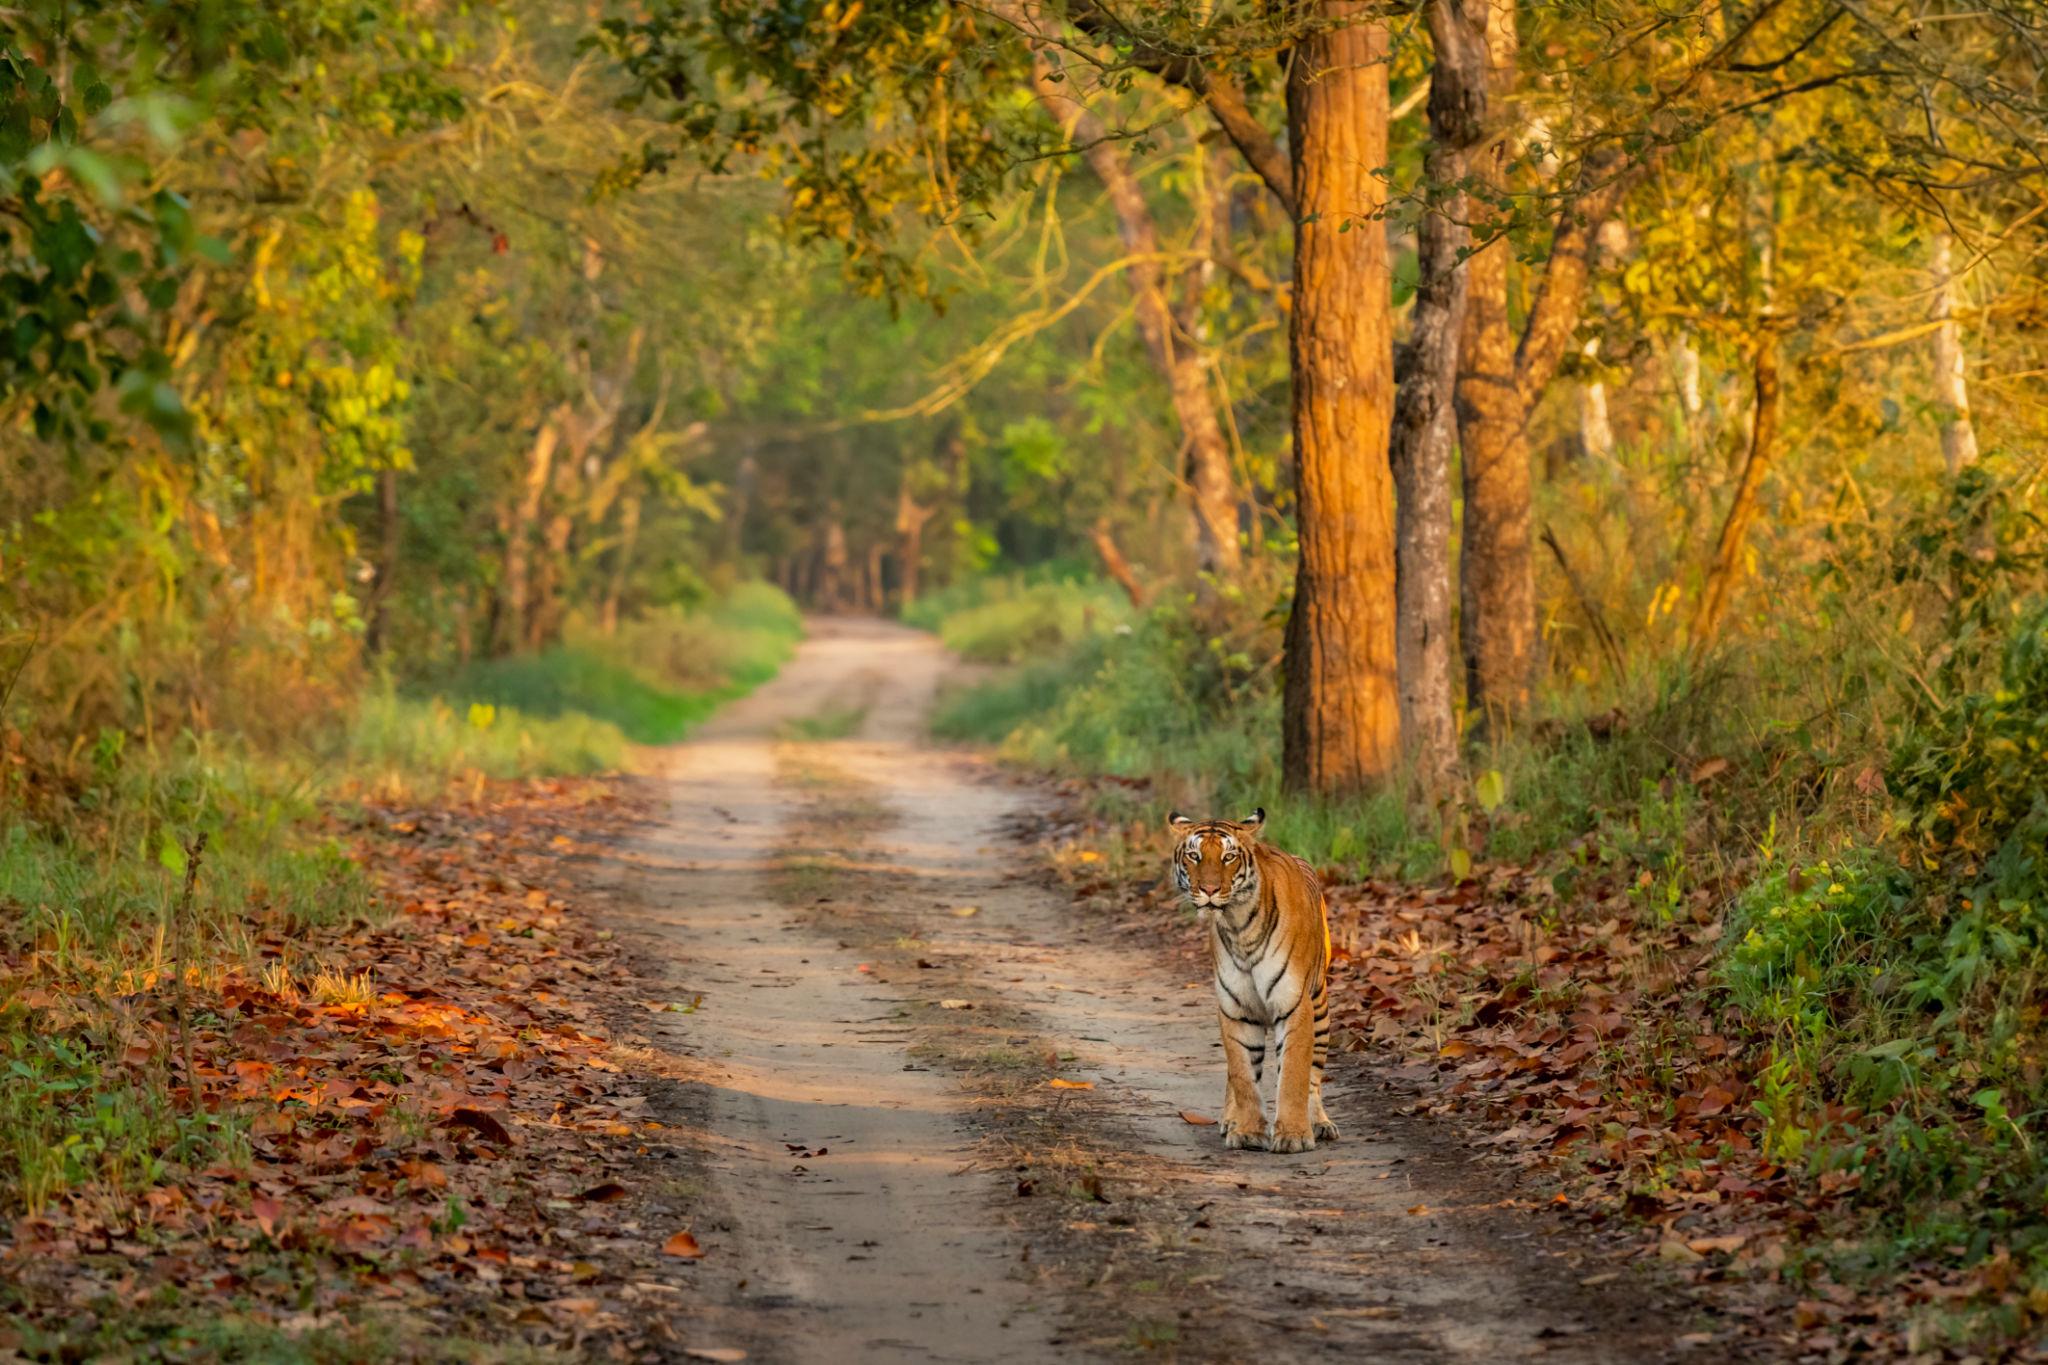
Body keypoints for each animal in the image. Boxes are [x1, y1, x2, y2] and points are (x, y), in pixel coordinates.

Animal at [1168, 808, 1338, 1154]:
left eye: (1229, 857)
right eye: (1194, 856)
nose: (1208, 890)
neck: (1238, 924)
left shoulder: (1294, 1004)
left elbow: (1294, 1074)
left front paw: (1294, 1136)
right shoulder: (1236, 1009)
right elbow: (1244, 1075)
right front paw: (1246, 1131)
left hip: (1320, 1007)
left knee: (1314, 1075)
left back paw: (1320, 1123)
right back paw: (1229, 1119)